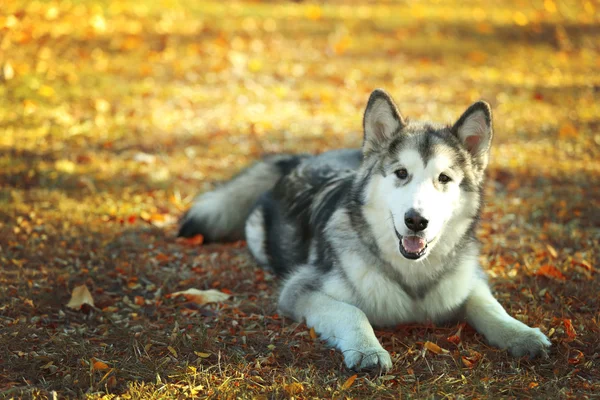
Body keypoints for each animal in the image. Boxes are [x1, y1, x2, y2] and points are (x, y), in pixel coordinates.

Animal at [177, 89, 548, 370]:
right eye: (401, 174)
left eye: (443, 179)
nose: (416, 220)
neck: (411, 277)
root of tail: (303, 158)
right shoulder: (298, 291)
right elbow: (352, 311)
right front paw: (368, 350)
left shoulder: (469, 280)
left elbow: (489, 306)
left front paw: (522, 335)